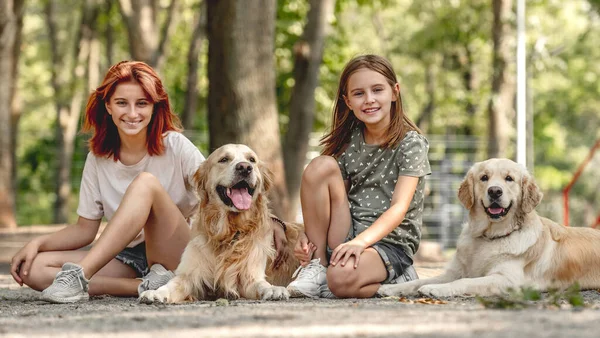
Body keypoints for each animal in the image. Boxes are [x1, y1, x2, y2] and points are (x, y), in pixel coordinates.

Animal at [139, 144, 300, 302]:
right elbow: (171, 284)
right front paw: (156, 292)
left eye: (252, 160)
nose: (245, 168)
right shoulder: (189, 275)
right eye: (224, 159)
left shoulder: (249, 278)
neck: (229, 232)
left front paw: (273, 289)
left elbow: (261, 284)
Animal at [380, 157, 600, 298]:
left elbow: (464, 282)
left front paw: (436, 289)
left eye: (509, 178)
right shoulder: (455, 271)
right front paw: (390, 288)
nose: (495, 191)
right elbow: (418, 281)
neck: (488, 236)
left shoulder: (508, 280)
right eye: (484, 178)